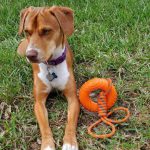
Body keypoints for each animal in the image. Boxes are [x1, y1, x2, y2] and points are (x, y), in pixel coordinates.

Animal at [17, 6, 80, 150]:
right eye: (27, 31)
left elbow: (70, 122)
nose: (30, 55)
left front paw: (70, 142)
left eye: (46, 31)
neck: (51, 65)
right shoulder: (39, 102)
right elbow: (44, 126)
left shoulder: (73, 98)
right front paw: (47, 144)